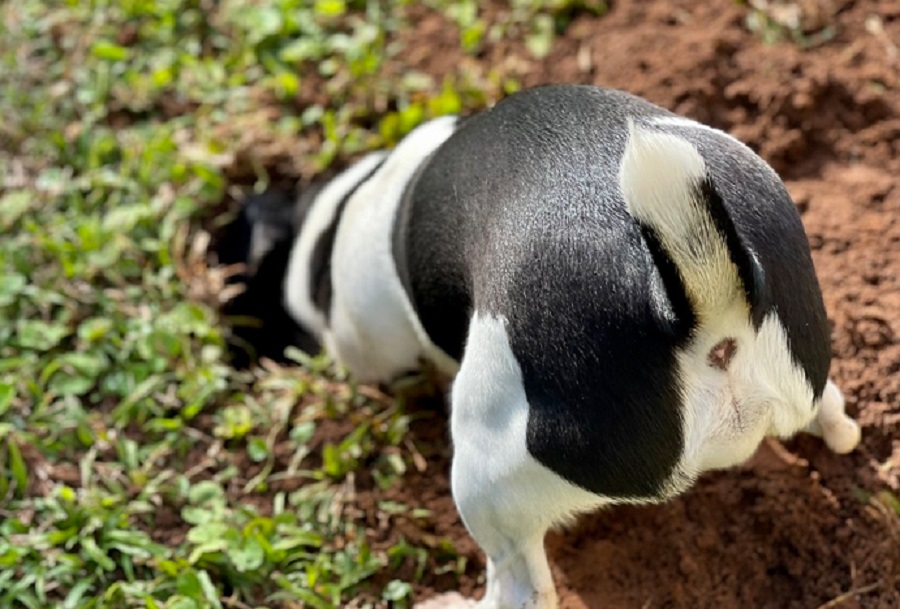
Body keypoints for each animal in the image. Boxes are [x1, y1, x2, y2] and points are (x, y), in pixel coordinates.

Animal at [221, 85, 860, 608]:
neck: (337, 221)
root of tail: (699, 302)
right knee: (829, 409)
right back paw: (837, 429)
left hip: (486, 478)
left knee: (521, 591)